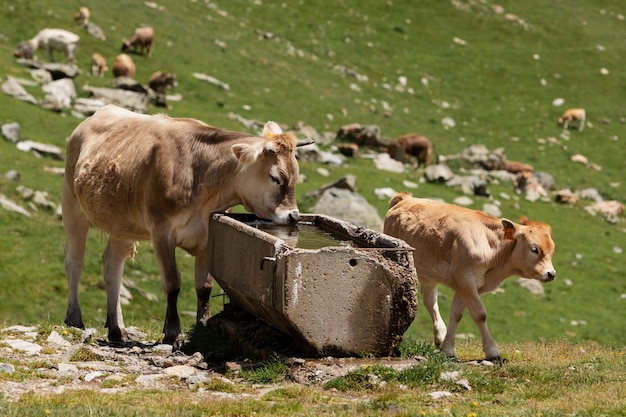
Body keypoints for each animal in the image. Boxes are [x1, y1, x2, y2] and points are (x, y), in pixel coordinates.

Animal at [63, 105, 312, 346]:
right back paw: (75, 319)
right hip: (73, 205)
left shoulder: (209, 236)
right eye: (275, 177)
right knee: (74, 262)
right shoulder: (161, 232)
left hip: (122, 222)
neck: (203, 178)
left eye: (296, 174)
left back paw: (117, 329)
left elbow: (204, 287)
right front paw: (173, 333)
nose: (293, 216)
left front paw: (201, 325)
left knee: (112, 266)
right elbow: (173, 282)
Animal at [382, 192, 552, 360]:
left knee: (430, 301)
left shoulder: (465, 284)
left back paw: (440, 336)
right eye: (534, 249)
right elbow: (479, 314)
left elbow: (456, 314)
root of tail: (406, 198)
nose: (551, 273)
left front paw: (448, 349)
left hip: (430, 274)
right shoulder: (465, 278)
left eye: (552, 249)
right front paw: (492, 351)